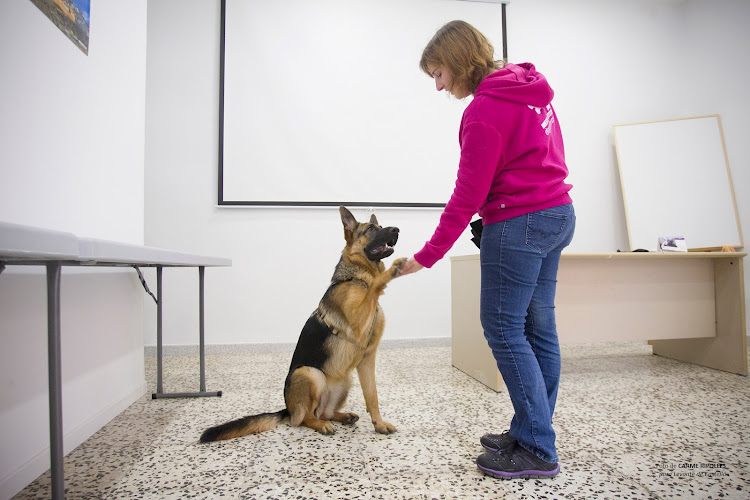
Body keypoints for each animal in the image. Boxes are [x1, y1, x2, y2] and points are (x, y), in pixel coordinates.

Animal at [200, 207, 406, 442]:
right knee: (303, 418)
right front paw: (390, 272)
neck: (356, 279)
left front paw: (379, 424)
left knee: (324, 412)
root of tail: (287, 409)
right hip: (310, 374)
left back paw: (342, 416)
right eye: (371, 228)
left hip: (345, 378)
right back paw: (321, 425)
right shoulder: (357, 321)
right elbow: (375, 286)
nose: (397, 229)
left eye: (380, 226)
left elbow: (372, 396)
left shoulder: (367, 358)